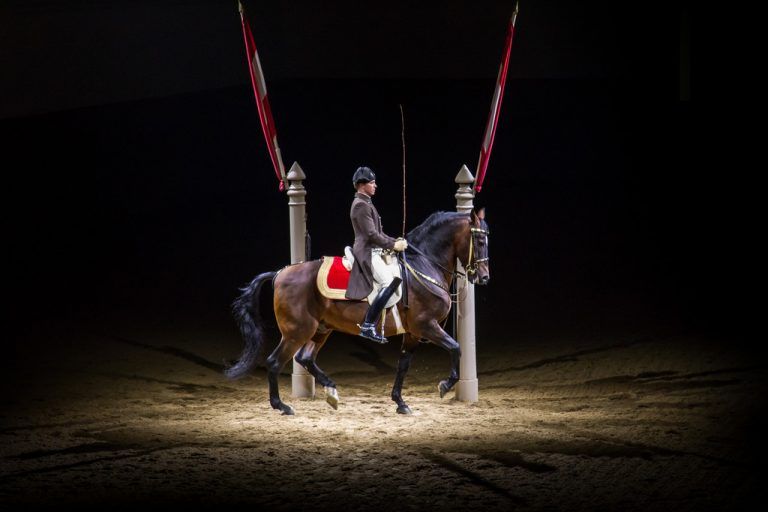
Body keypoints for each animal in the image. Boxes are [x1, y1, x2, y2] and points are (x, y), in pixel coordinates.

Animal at [225, 208, 490, 415]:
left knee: (305, 358)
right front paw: (445, 386)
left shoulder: (413, 333)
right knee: (275, 362)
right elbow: (456, 348)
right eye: (479, 242)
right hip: (296, 332)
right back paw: (282, 406)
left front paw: (400, 403)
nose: (484, 278)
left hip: (321, 329)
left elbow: (403, 366)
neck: (423, 265)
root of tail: (280, 273)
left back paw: (331, 392)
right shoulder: (426, 325)